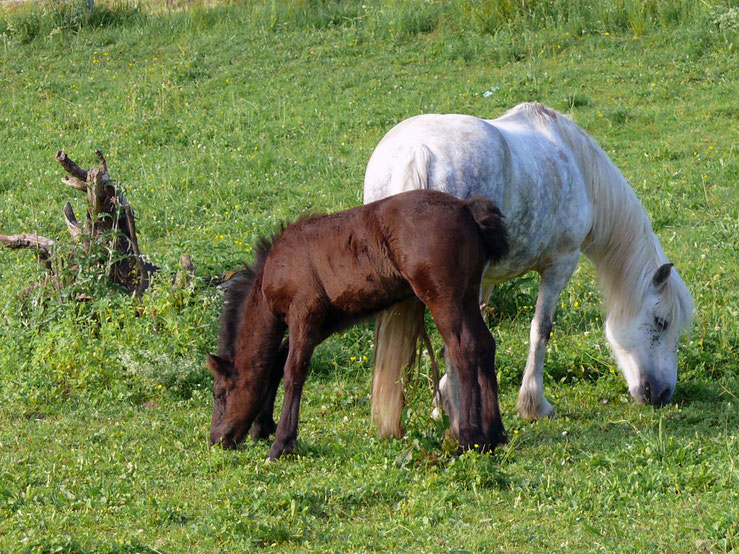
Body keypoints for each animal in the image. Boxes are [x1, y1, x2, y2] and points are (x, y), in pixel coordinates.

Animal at [368, 100, 696, 436]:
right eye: (661, 322)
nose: (663, 394)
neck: (577, 166)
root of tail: (417, 152)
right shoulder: (560, 265)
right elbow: (541, 330)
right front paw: (534, 404)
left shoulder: (485, 280)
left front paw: (443, 401)